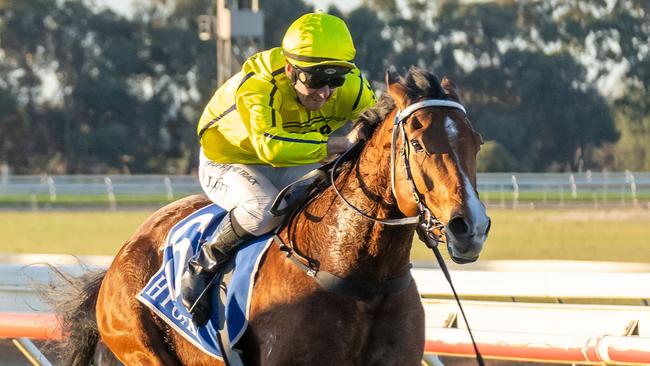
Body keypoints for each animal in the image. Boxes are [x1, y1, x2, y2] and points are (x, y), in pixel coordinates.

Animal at [54, 66, 486, 366]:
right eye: (418, 143)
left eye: (476, 142)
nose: (471, 227)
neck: (359, 277)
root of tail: (119, 258)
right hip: (138, 344)